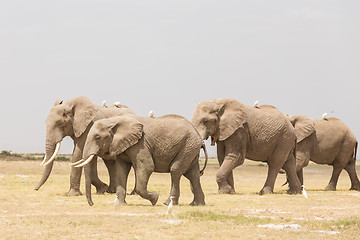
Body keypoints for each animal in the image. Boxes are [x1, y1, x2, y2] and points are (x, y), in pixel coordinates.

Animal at [74, 114, 208, 206]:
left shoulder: (140, 144)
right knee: (193, 174)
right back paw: (197, 204)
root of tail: (200, 138)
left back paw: (167, 203)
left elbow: (147, 166)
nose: (92, 204)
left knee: (175, 170)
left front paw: (155, 198)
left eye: (97, 137)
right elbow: (121, 170)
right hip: (190, 149)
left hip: (187, 146)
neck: (114, 120)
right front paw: (120, 205)